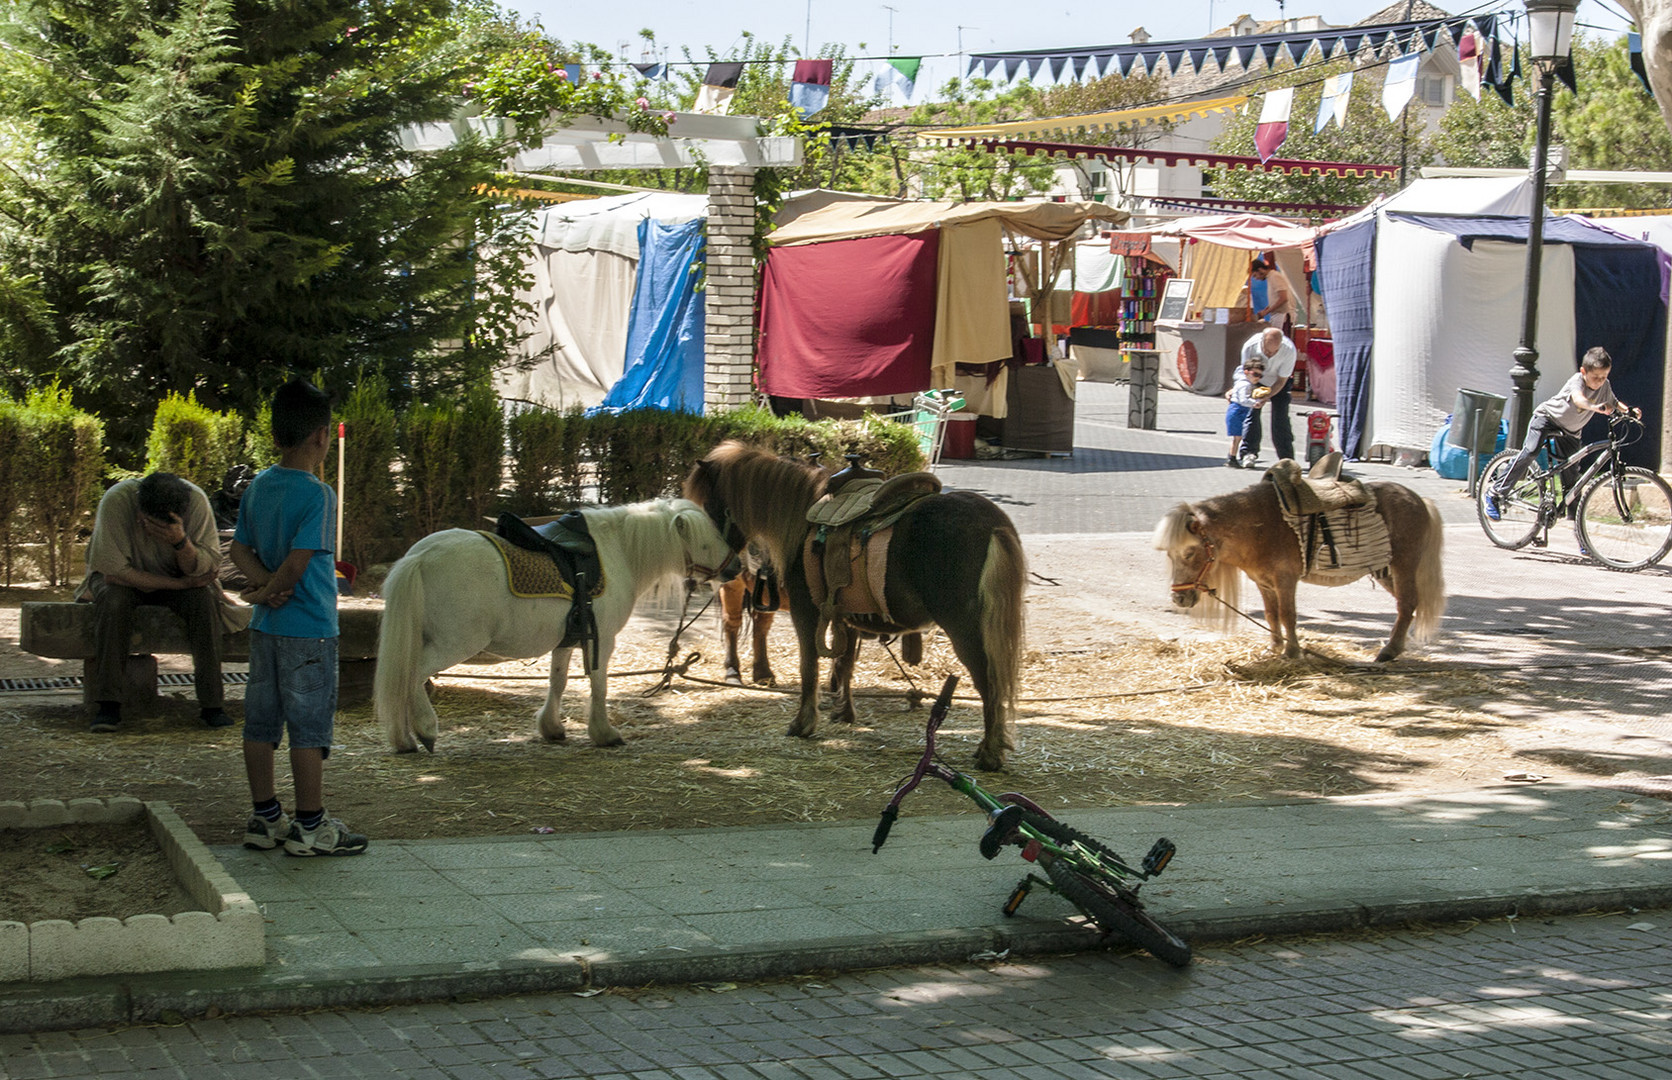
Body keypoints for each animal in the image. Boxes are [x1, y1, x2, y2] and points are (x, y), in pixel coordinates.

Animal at [379, 498, 732, 752]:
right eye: (708, 541)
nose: (735, 567)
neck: (618, 553)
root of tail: (420, 558)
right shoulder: (603, 640)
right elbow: (599, 685)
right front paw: (604, 733)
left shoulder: (567, 640)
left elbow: (558, 682)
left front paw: (552, 728)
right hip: (454, 644)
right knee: (412, 675)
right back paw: (425, 729)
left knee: (401, 680)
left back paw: (404, 739)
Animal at [685, 444, 1023, 775]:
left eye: (710, 506)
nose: (722, 565)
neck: (804, 518)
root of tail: (992, 524)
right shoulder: (844, 616)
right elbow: (844, 663)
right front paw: (844, 712)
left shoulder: (806, 611)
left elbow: (810, 666)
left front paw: (803, 723)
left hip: (964, 628)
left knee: (989, 682)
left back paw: (990, 753)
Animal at [1157, 481, 1444, 665]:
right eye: (1169, 554)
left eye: (1189, 552)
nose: (1178, 598)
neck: (1258, 526)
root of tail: (1419, 500)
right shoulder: (1264, 583)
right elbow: (1272, 615)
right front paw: (1274, 647)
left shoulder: (1285, 580)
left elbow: (1288, 615)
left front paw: (1292, 652)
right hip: (1387, 572)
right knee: (1408, 605)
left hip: (1404, 565)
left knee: (1407, 604)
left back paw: (1389, 651)